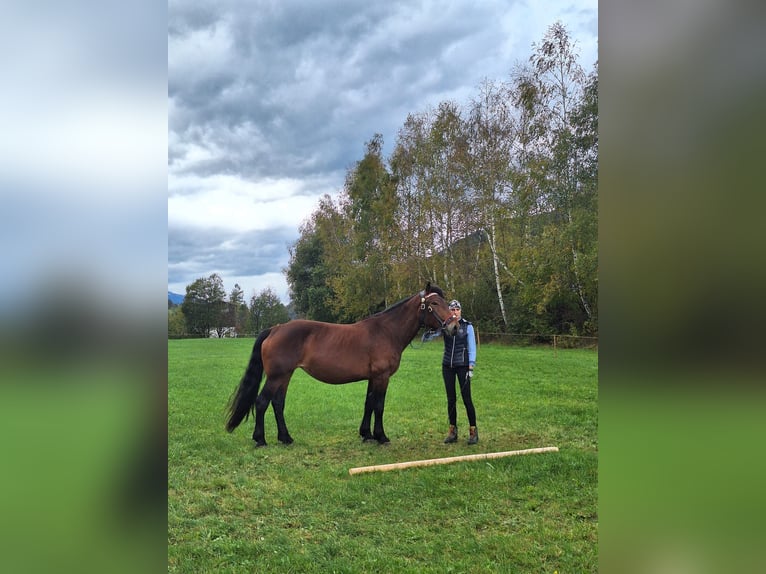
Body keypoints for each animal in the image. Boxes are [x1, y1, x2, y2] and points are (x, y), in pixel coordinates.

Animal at [226, 282, 456, 446]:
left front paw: (366, 434)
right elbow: (379, 405)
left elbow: (368, 404)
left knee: (277, 403)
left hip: (285, 375)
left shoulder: (373, 378)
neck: (386, 331)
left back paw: (286, 438)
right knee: (262, 402)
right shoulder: (382, 377)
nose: (453, 326)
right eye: (434, 304)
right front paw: (381, 436)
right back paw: (260, 439)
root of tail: (276, 328)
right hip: (276, 376)